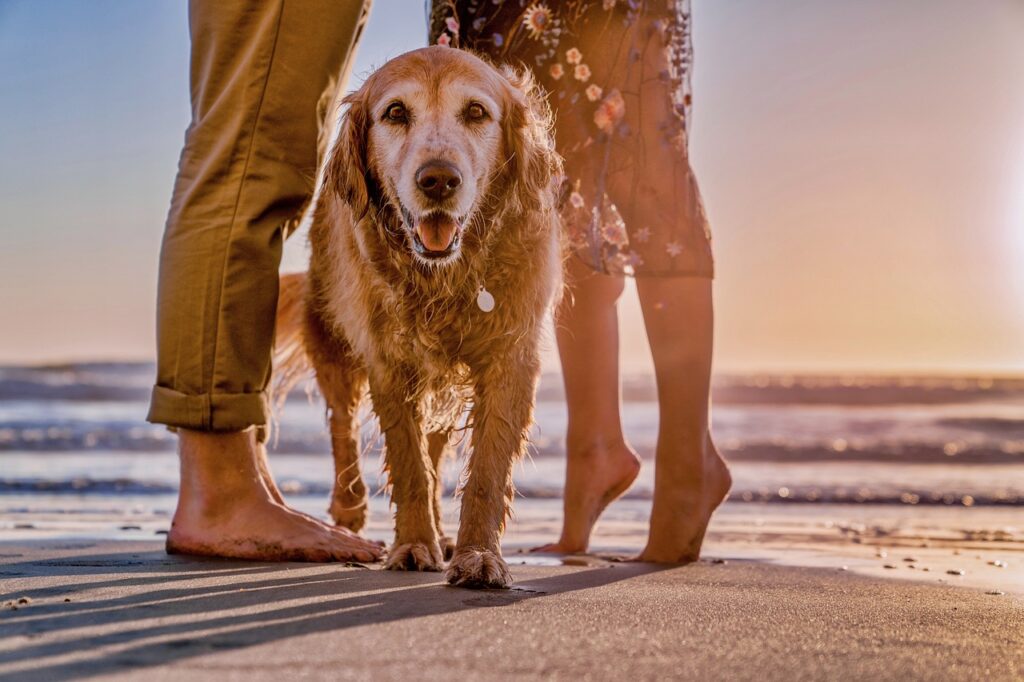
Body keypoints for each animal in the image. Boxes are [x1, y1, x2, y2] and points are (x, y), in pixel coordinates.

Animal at [276, 47, 565, 585]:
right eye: (395, 112)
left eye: (476, 112)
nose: (438, 180)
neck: (445, 276)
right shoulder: (389, 362)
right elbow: (409, 463)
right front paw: (412, 544)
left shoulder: (511, 357)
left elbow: (486, 470)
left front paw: (479, 554)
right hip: (331, 336)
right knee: (342, 422)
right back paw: (348, 508)